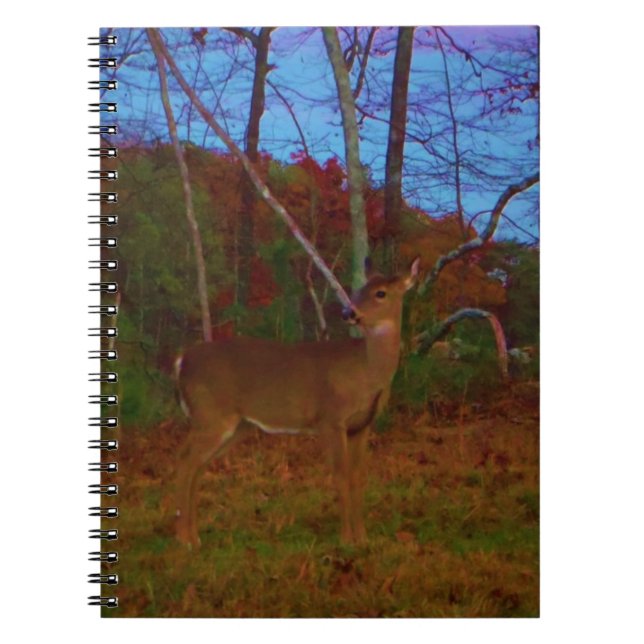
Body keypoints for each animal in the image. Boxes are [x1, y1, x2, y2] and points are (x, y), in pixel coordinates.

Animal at [173, 257, 420, 547]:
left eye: (380, 293)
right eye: (358, 290)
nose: (348, 312)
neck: (366, 371)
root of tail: (182, 361)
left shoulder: (362, 425)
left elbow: (357, 477)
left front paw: (363, 537)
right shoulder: (330, 418)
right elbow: (341, 475)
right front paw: (347, 539)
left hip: (234, 425)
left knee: (197, 466)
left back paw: (194, 536)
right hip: (211, 415)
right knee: (185, 463)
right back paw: (185, 539)